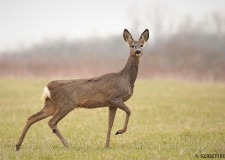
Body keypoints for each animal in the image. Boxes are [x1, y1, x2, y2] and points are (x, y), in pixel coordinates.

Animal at [15, 28, 149, 151]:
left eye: (141, 45)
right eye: (132, 45)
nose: (138, 51)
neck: (126, 78)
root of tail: (47, 87)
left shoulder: (111, 104)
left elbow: (110, 123)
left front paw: (107, 145)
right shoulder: (114, 98)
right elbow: (129, 111)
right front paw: (120, 131)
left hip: (51, 104)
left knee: (31, 118)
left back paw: (18, 146)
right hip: (66, 104)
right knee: (51, 122)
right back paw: (67, 144)